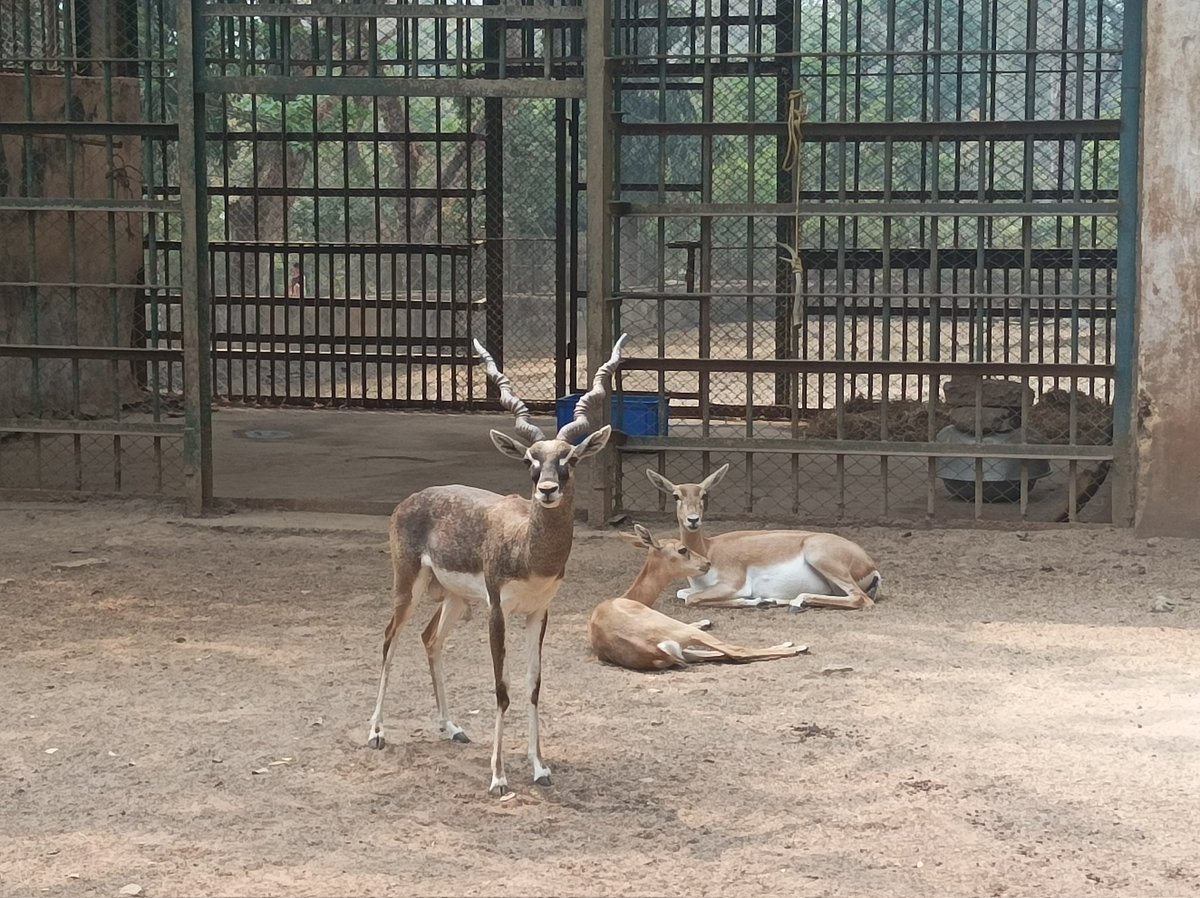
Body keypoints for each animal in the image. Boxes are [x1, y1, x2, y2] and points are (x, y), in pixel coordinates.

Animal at [365, 333, 629, 796]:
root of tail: (411, 498)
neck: (528, 549)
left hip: (454, 598)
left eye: (570, 459)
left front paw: (540, 767)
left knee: (429, 639)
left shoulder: (539, 612)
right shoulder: (497, 610)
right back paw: (376, 732)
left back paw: (451, 727)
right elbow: (502, 688)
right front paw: (499, 776)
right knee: (389, 639)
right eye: (529, 460)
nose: (546, 490)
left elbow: (533, 686)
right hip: (408, 584)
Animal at [588, 524, 806, 670]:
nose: (707, 563)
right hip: (687, 635)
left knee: (726, 654)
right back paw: (796, 646)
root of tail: (655, 648)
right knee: (737, 651)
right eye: (682, 549)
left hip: (687, 651)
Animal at [646, 464, 882, 611]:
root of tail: (870, 566)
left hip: (820, 557)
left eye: (704, 494)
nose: (693, 520)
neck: (709, 549)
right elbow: (683, 593)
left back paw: (796, 601)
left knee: (861, 599)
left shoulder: (734, 585)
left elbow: (691, 598)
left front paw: (757, 601)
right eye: (676, 495)